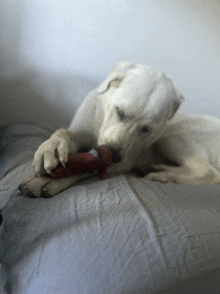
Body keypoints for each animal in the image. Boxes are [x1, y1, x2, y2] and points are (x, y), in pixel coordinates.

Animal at [18, 62, 220, 198]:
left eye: (146, 129)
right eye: (120, 112)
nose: (113, 155)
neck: (100, 123)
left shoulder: (125, 160)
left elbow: (89, 166)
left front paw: (46, 181)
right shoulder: (79, 131)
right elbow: (63, 133)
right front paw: (52, 148)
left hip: (170, 136)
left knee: (209, 173)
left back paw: (162, 175)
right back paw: (153, 168)